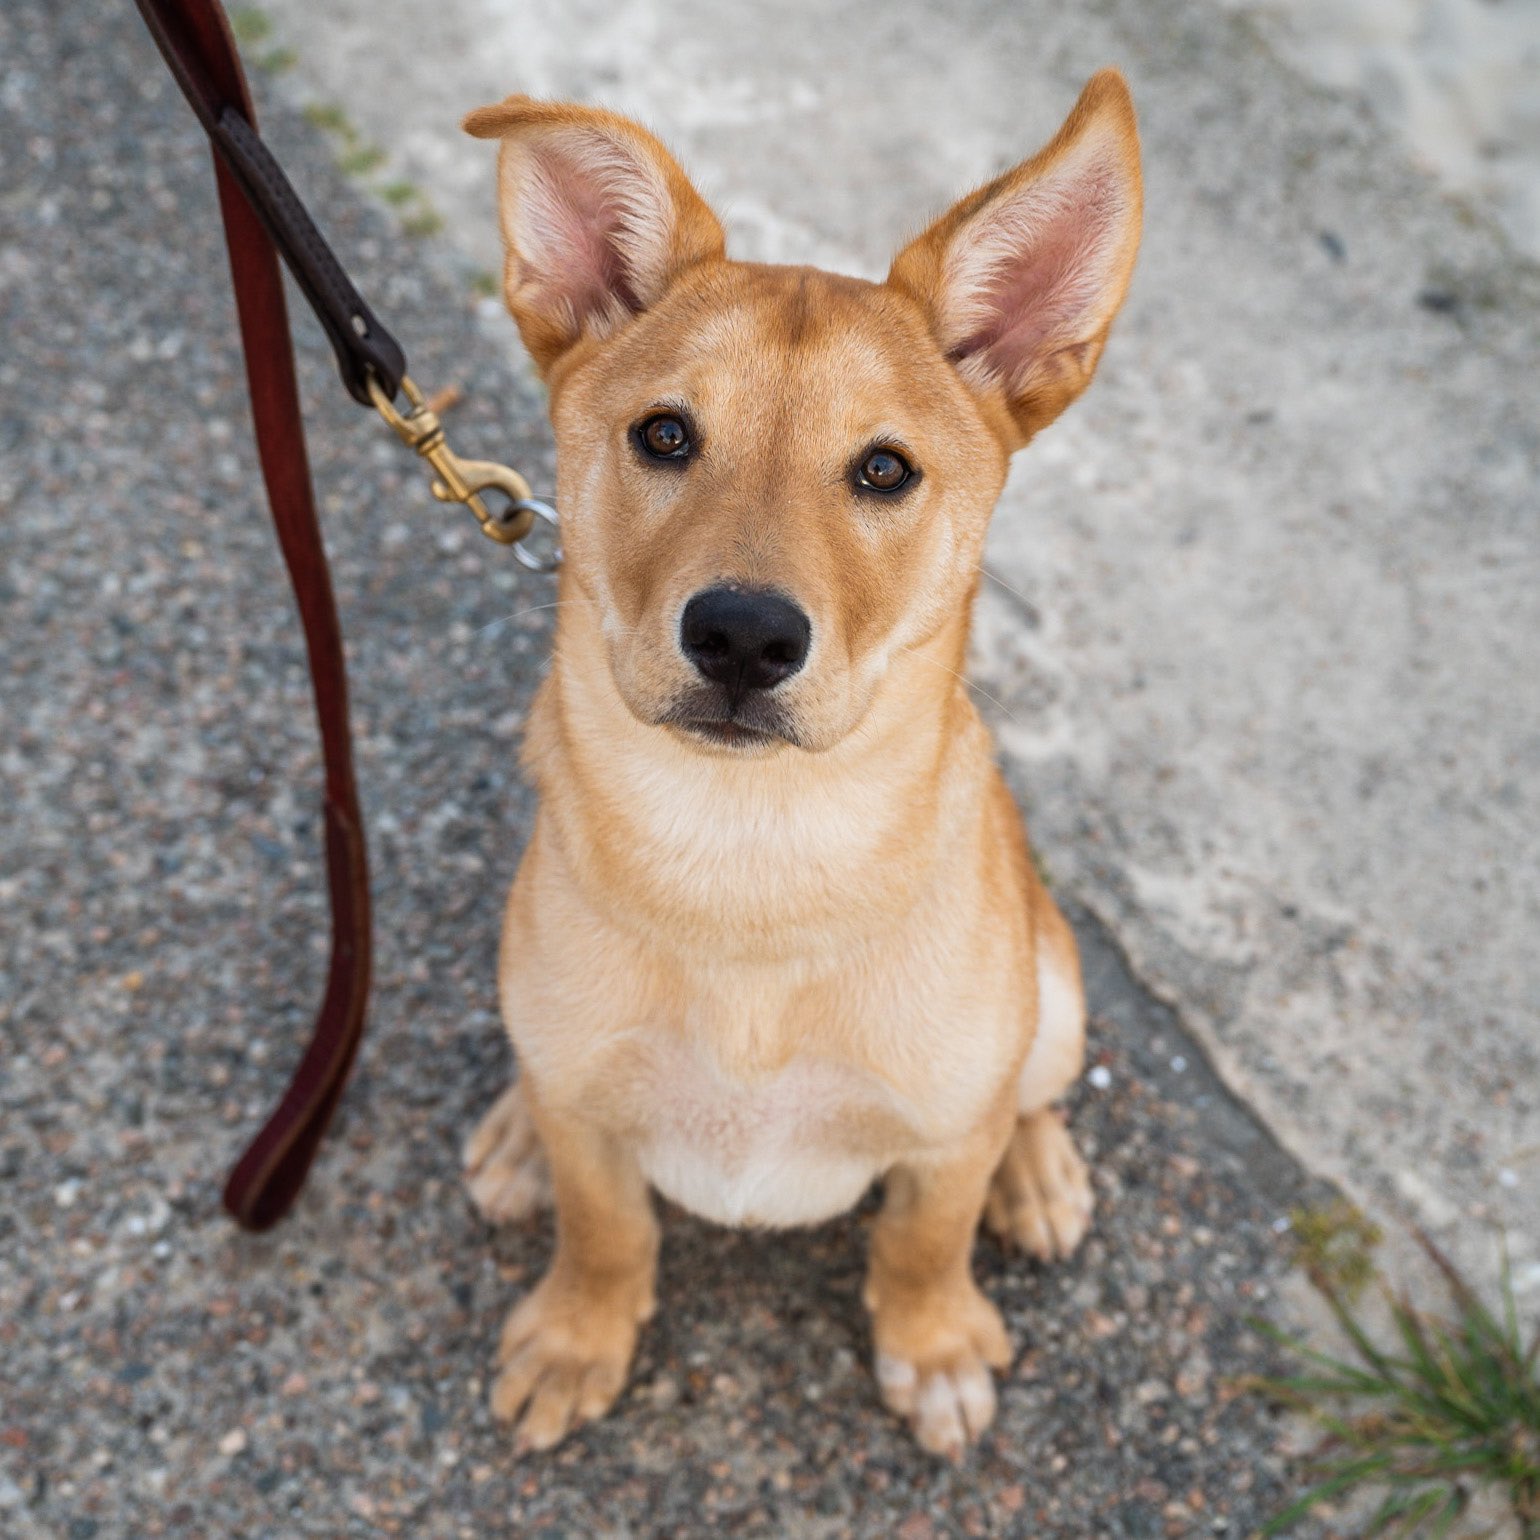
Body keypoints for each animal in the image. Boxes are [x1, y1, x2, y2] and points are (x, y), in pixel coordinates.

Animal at [455, 72, 1145, 1459]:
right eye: (664, 436)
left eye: (884, 469)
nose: (742, 636)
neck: (748, 861)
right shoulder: (596, 1130)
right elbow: (605, 1229)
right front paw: (576, 1332)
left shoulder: (942, 1135)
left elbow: (925, 1238)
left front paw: (932, 1345)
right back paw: (514, 1136)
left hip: (1051, 993)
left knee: (1031, 1087)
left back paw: (1036, 1170)